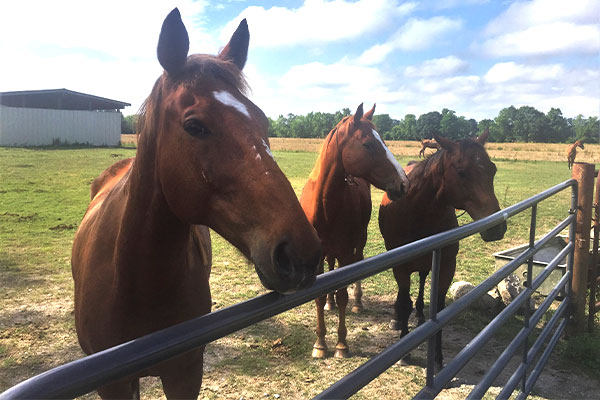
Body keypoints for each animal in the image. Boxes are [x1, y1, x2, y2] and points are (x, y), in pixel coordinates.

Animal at [71, 8, 324, 396]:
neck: (131, 280)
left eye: (263, 121)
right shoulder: (115, 385)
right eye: (195, 125)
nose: (302, 253)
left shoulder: (185, 373)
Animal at [300, 104, 412, 358]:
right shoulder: (318, 255)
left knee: (357, 262)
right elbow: (319, 297)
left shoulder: (344, 250)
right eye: (368, 144)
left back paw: (358, 303)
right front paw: (320, 343)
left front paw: (341, 344)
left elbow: (343, 294)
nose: (404, 183)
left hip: (358, 240)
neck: (324, 204)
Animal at [380, 130, 506, 370]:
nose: (497, 228)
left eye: (493, 169)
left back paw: (420, 315)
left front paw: (438, 358)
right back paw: (397, 319)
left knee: (421, 281)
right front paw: (404, 351)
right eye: (461, 172)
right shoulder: (401, 267)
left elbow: (438, 311)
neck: (417, 211)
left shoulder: (447, 265)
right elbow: (405, 302)